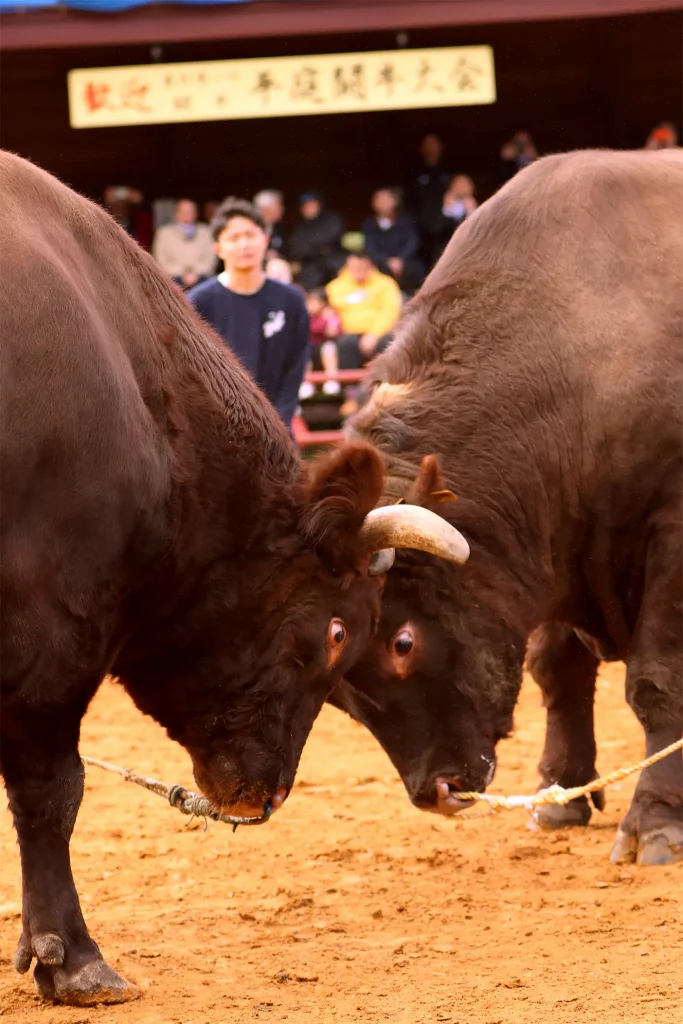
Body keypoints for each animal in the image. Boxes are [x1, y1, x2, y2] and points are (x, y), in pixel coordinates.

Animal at [337, 144, 683, 864]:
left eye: (403, 641)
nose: (434, 791)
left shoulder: (672, 530)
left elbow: (656, 678)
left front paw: (657, 819)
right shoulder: (556, 542)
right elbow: (557, 669)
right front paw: (560, 795)